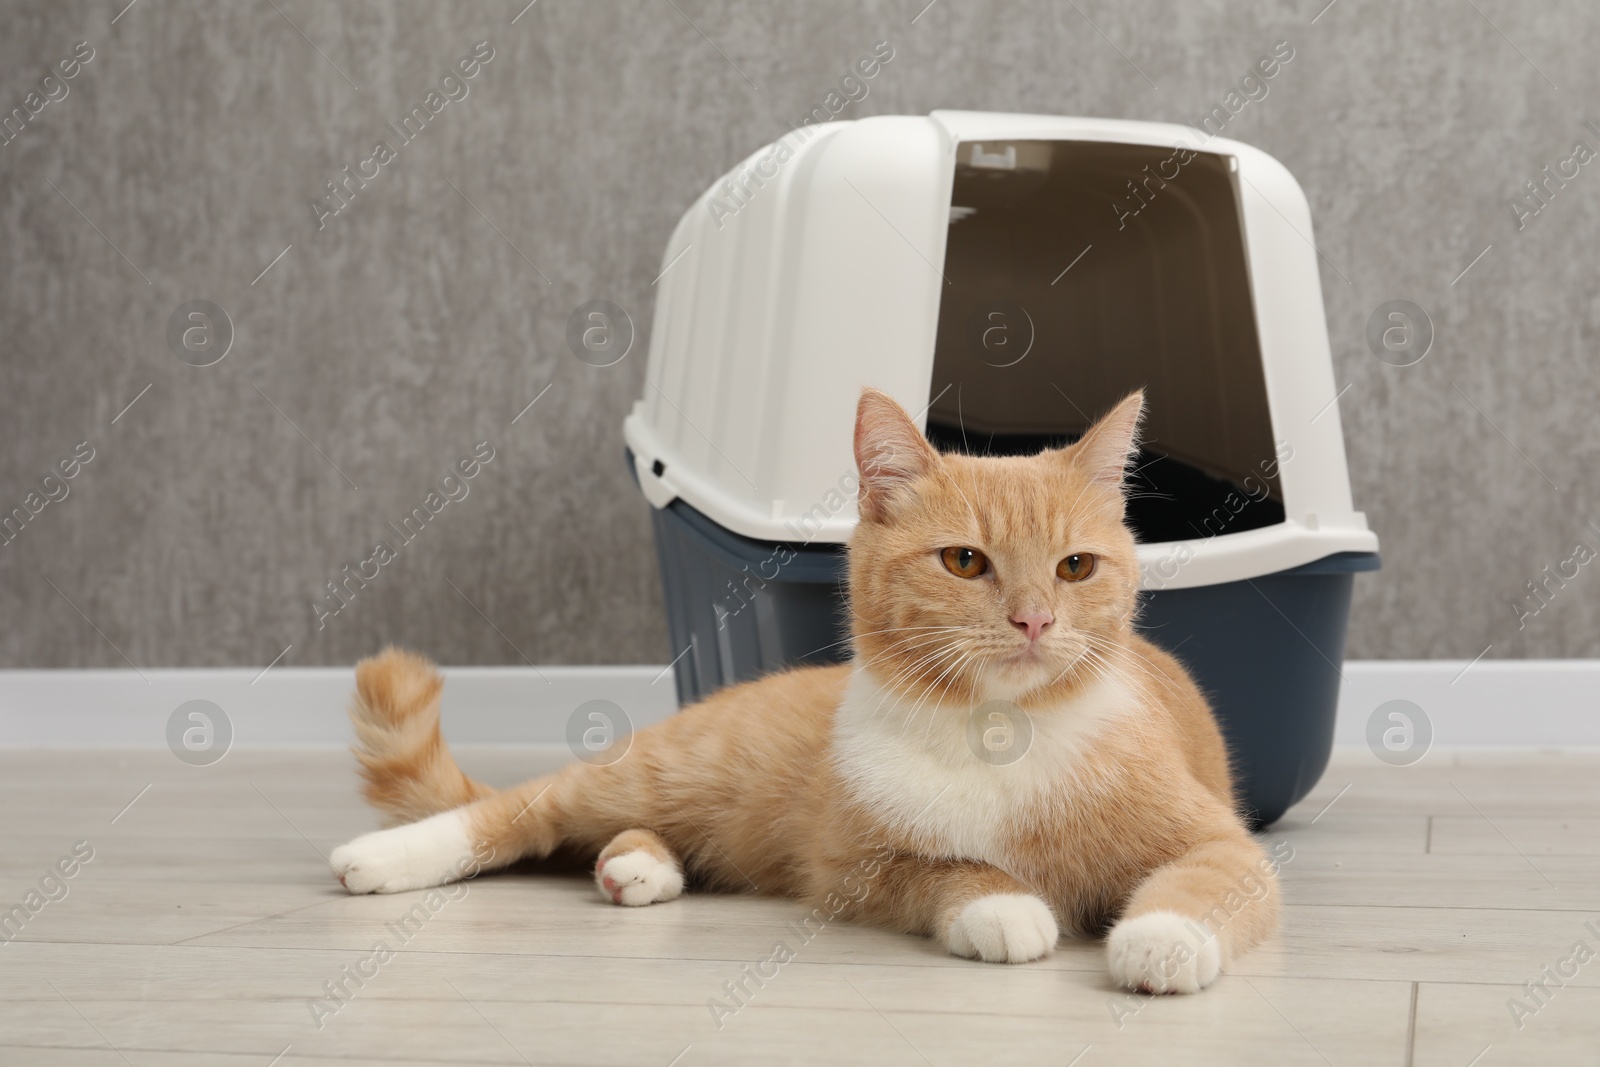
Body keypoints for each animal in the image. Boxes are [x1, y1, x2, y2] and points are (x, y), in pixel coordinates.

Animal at [334, 390, 1273, 991]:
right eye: (964, 560)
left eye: (1076, 566)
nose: (1035, 620)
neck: (998, 731)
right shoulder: (849, 865)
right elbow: (947, 867)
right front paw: (1003, 903)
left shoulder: (1219, 837)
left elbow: (1209, 874)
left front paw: (1159, 936)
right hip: (670, 769)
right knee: (528, 807)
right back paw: (384, 856)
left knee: (603, 833)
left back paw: (636, 865)